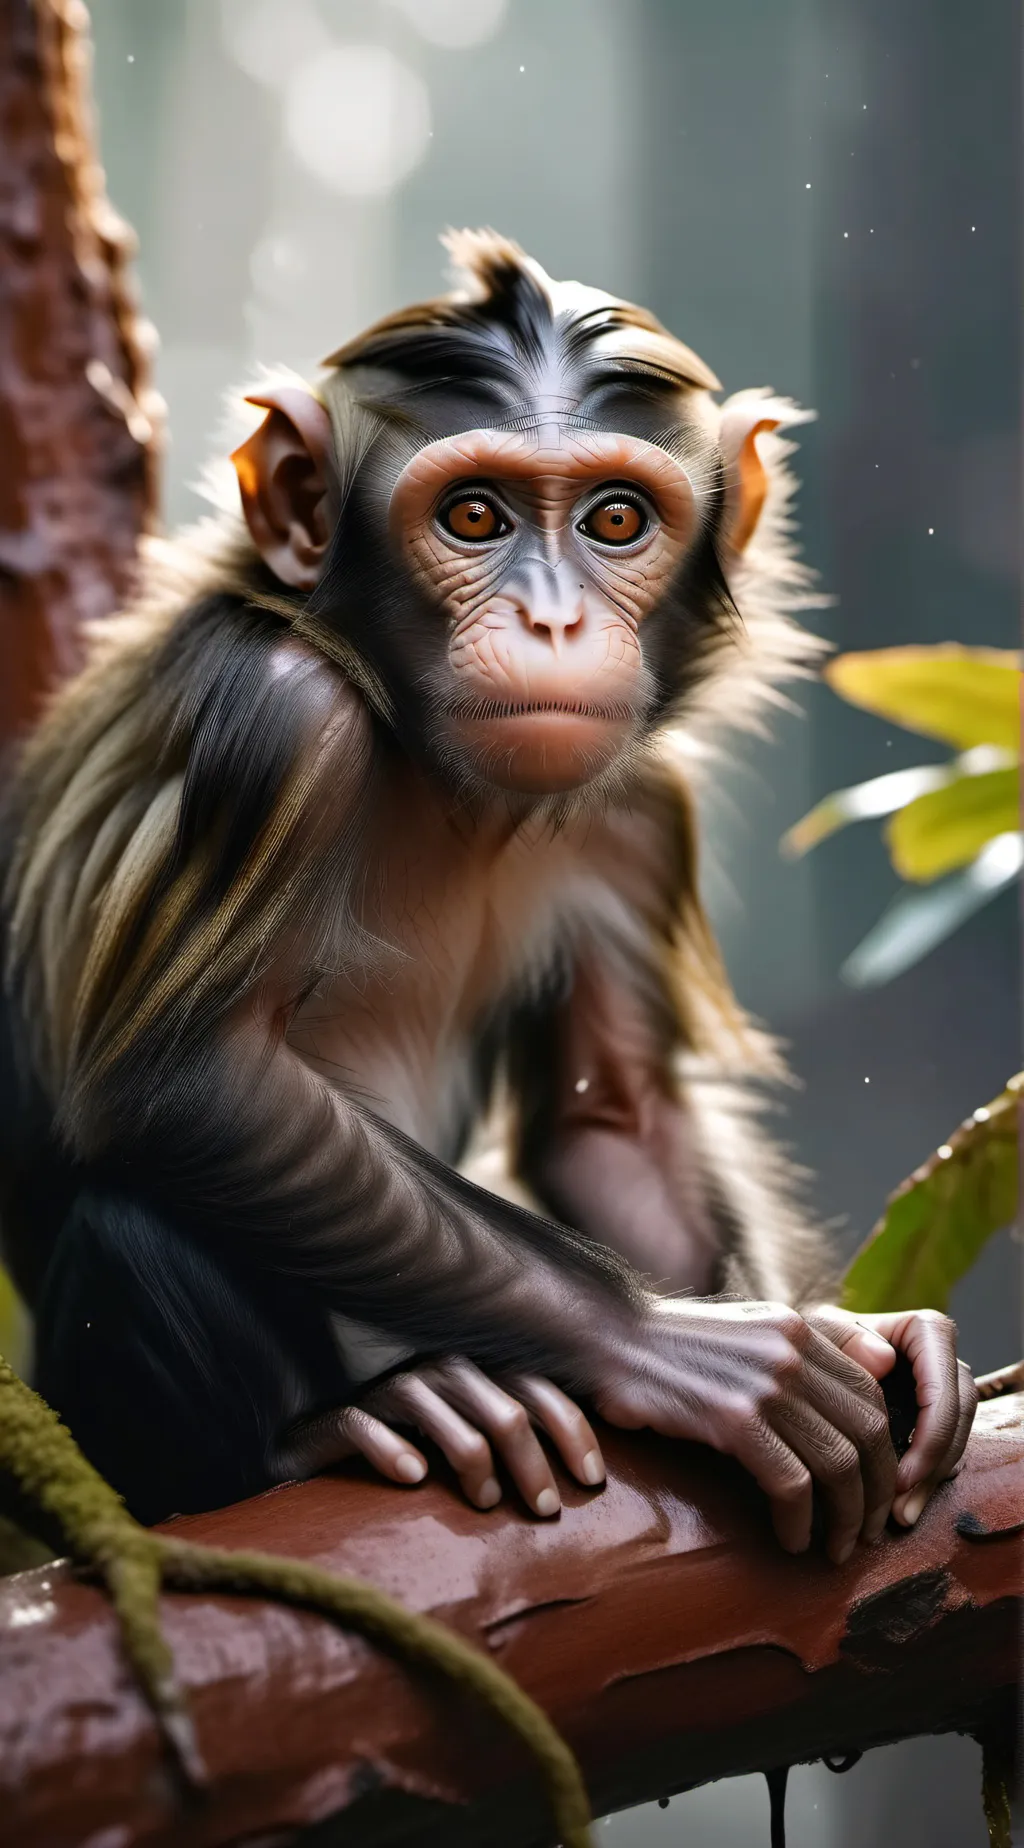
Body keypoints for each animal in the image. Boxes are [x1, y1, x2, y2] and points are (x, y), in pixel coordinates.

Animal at [0, 231, 975, 1544]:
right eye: (472, 514)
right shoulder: (276, 714)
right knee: (133, 1226)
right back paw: (352, 1426)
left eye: (616, 520)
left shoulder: (634, 814)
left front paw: (852, 1345)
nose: (551, 619)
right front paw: (676, 1347)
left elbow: (610, 1121)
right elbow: (185, 1081)